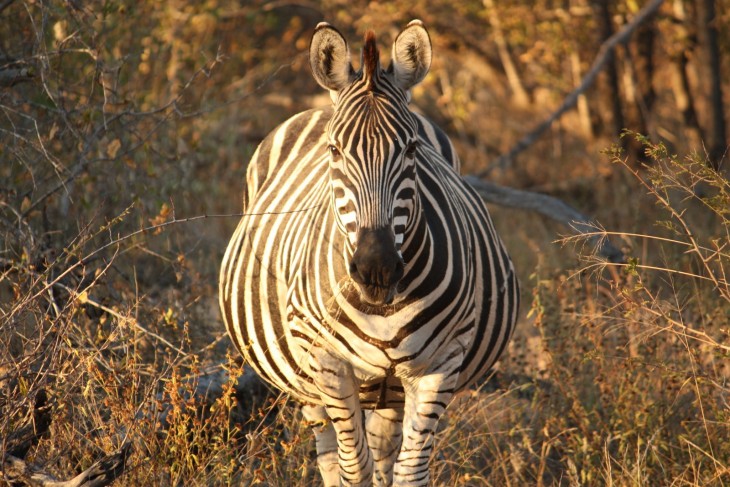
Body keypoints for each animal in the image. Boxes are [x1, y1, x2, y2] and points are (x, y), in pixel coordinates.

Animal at [220, 20, 516, 487]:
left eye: (412, 149)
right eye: (334, 150)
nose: (376, 268)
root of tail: (319, 105)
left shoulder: (441, 364)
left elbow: (408, 471)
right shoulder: (328, 363)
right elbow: (351, 468)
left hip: (389, 389)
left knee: (382, 449)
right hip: (306, 379)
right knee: (329, 454)